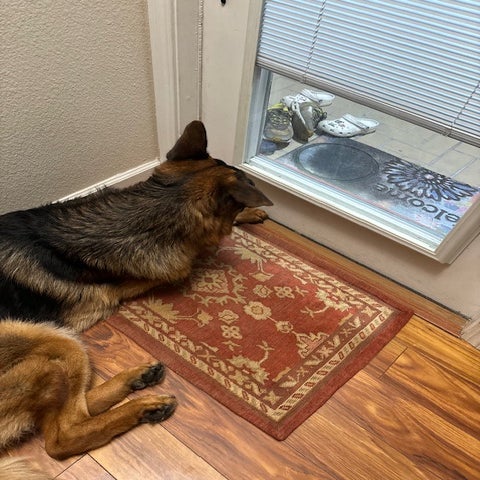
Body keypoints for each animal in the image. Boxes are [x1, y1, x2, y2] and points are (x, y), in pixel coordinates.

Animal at [0, 120, 270, 476]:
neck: (148, 209)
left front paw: (249, 214)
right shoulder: (155, 273)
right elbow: (200, 248)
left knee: (73, 408)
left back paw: (137, 380)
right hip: (52, 337)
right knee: (63, 436)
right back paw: (141, 407)